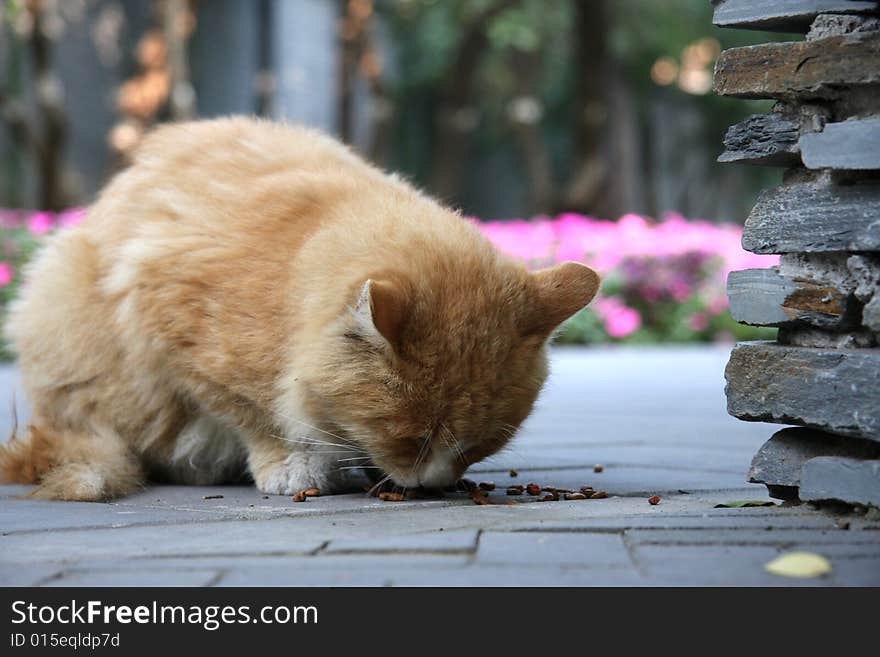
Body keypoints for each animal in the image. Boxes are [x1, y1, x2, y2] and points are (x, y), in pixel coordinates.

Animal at [0, 118, 600, 500]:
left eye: (480, 446)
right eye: (412, 440)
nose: (432, 484)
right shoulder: (176, 332)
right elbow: (254, 412)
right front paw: (291, 464)